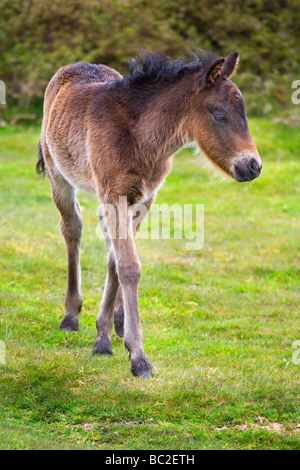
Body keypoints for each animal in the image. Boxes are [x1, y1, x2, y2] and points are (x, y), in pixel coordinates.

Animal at [37, 50, 262, 378]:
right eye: (219, 115)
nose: (254, 166)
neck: (140, 137)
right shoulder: (114, 196)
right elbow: (129, 266)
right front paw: (138, 356)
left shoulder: (144, 199)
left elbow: (117, 262)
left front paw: (105, 335)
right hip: (59, 175)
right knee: (72, 229)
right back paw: (70, 316)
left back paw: (117, 320)